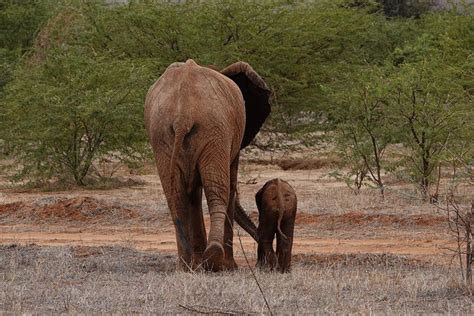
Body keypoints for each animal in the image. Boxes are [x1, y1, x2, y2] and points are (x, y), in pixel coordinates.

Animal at [143, 59, 270, 272]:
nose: (264, 255)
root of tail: (183, 115)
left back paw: (187, 266)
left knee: (176, 195)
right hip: (213, 131)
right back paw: (215, 260)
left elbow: (193, 193)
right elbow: (230, 185)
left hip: (163, 135)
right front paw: (229, 266)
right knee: (218, 190)